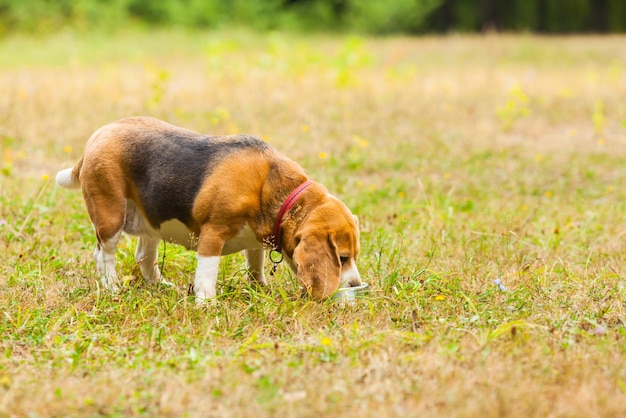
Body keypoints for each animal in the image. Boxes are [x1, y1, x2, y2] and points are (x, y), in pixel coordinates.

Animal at [57, 116, 360, 302]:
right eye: (342, 258)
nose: (357, 286)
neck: (277, 190)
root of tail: (99, 134)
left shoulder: (256, 240)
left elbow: (255, 265)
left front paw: (259, 288)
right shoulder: (213, 233)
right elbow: (206, 275)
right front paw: (207, 304)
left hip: (150, 221)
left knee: (144, 255)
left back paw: (159, 285)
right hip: (110, 216)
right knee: (103, 255)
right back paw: (112, 286)